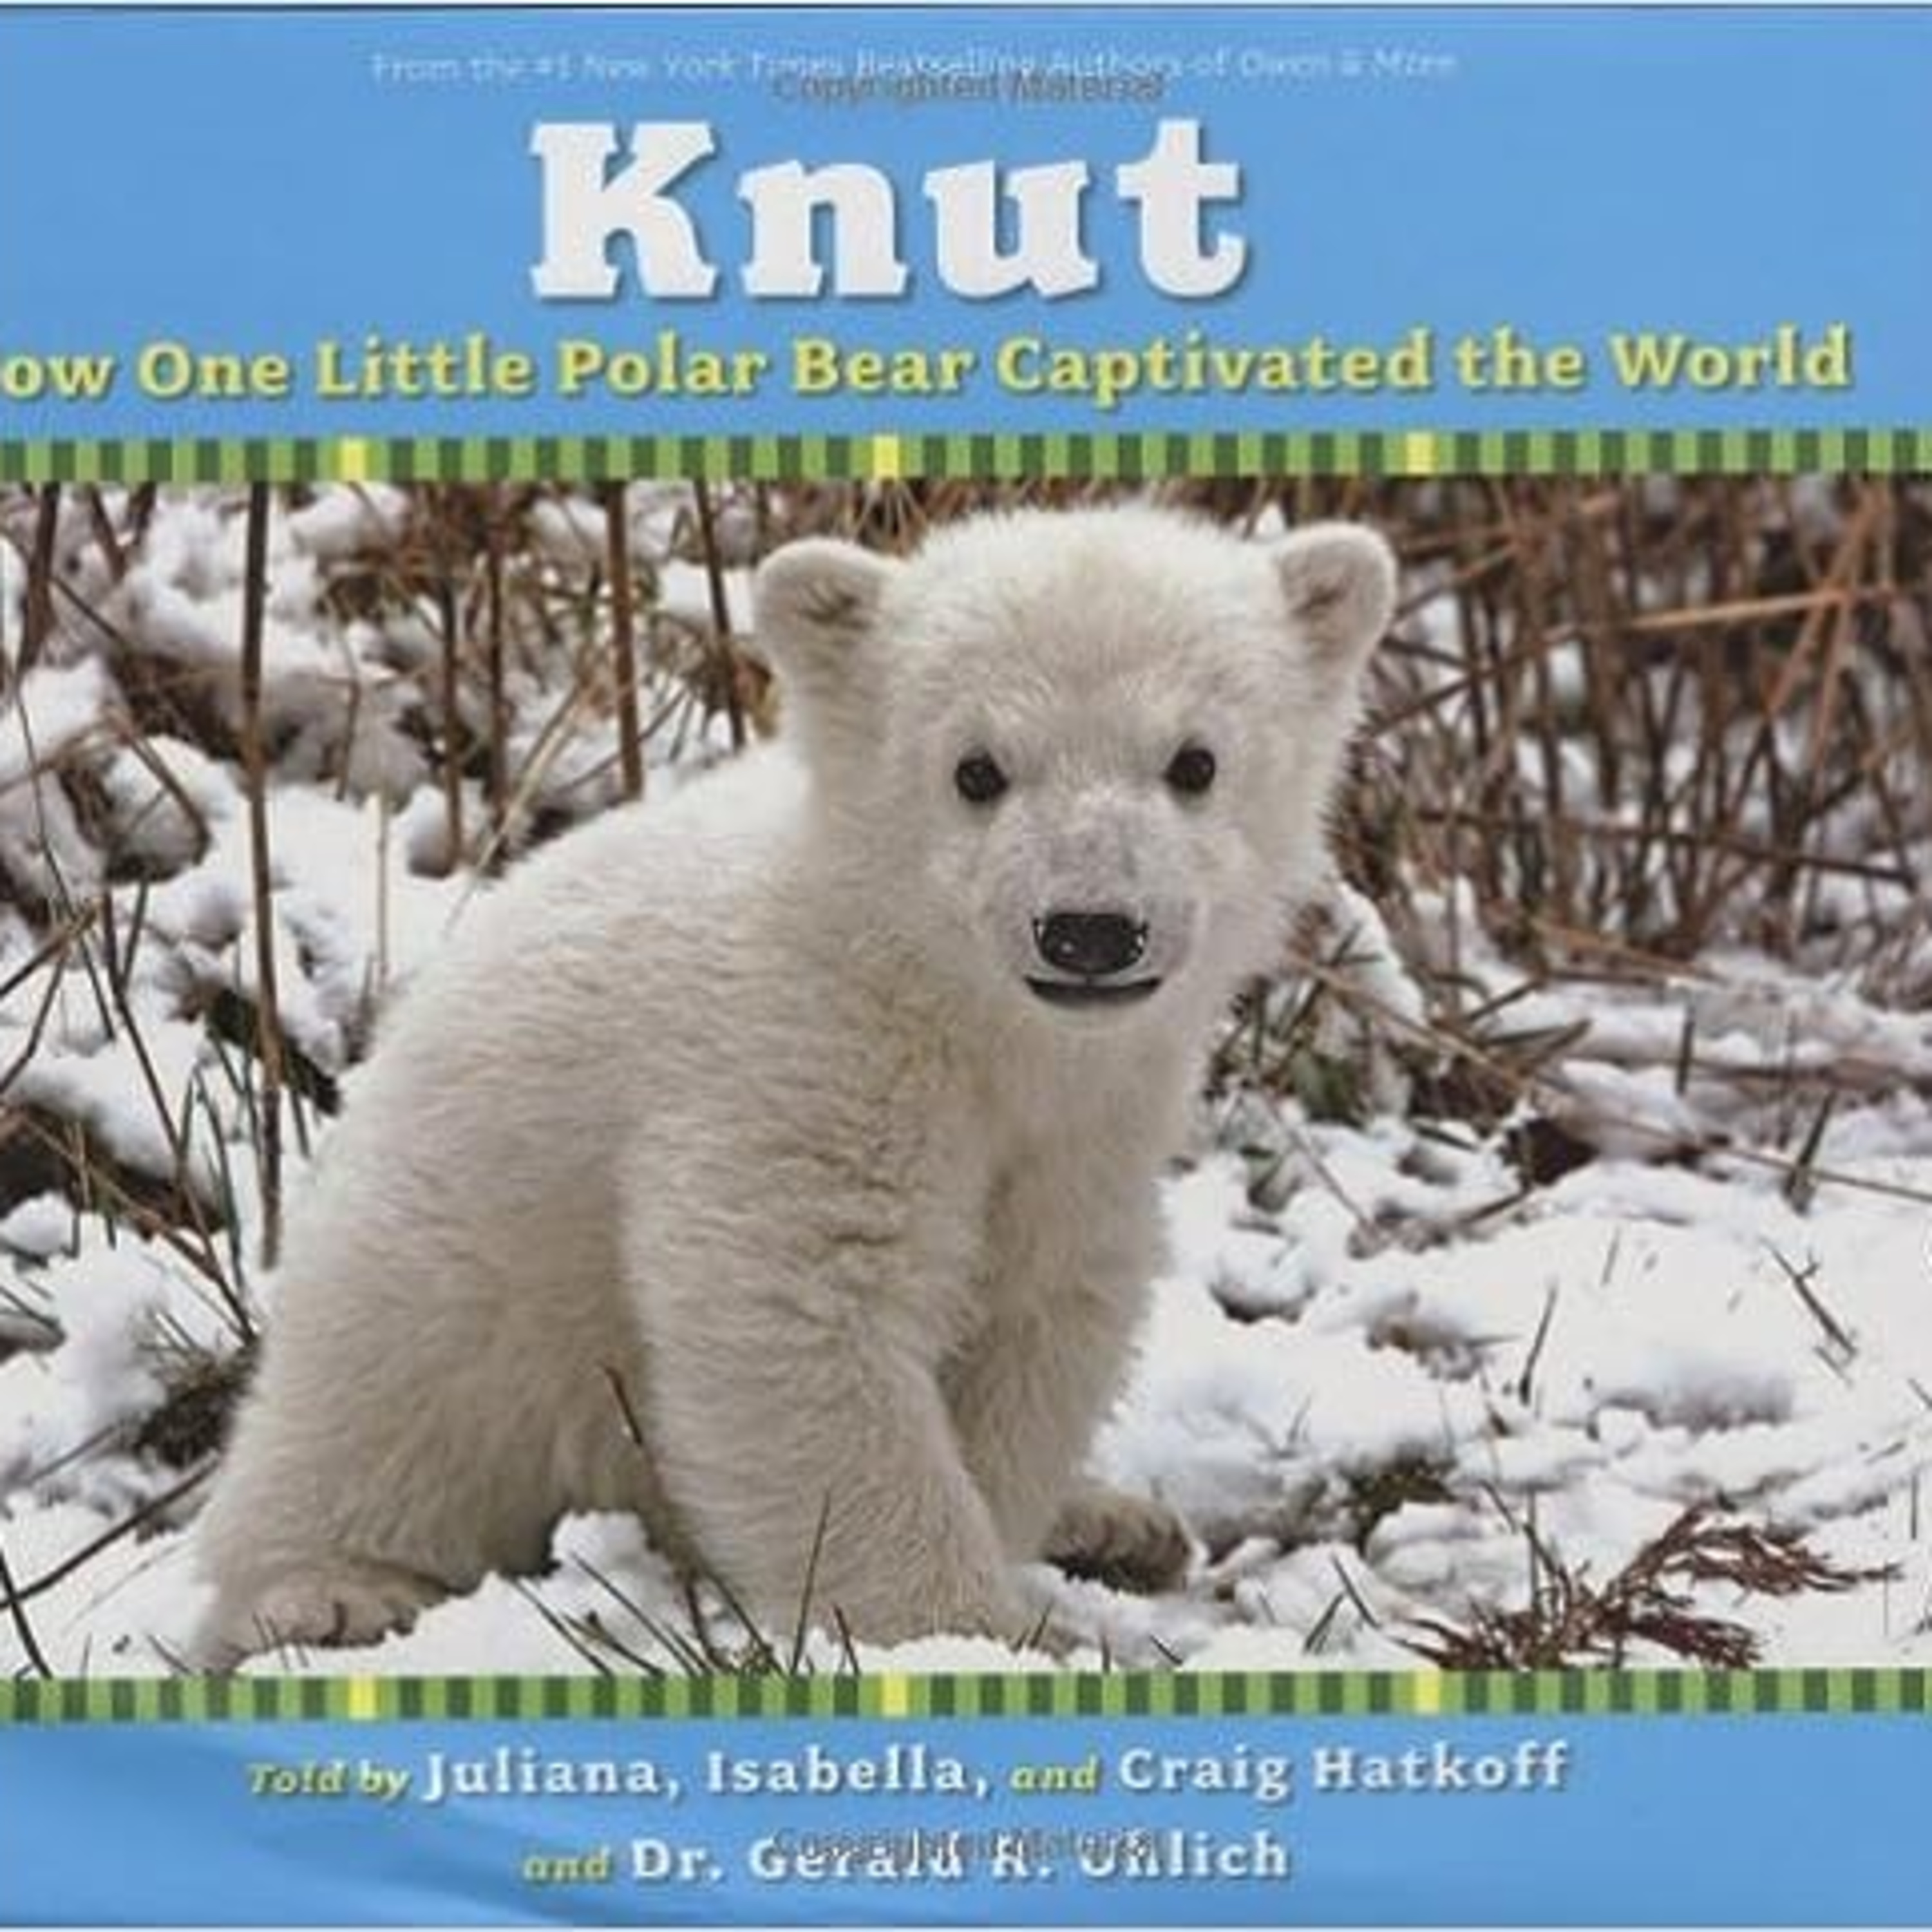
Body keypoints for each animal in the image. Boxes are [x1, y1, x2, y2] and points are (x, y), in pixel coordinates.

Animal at [191, 502, 1395, 1665]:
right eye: (976, 769)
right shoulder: (797, 1058)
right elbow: (798, 1312)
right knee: (377, 1413)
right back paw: (329, 1594)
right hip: (445, 1268)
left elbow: (1038, 1312)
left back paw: (1116, 1521)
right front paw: (965, 1633)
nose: (1090, 930)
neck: (951, 1003)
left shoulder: (1087, 1128)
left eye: (1195, 762)